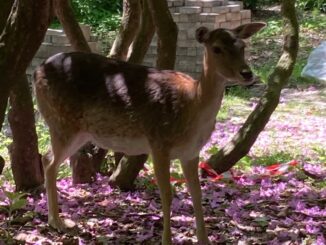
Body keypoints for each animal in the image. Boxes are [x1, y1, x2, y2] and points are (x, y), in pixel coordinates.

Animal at [33, 22, 264, 244]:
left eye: (242, 46)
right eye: (216, 48)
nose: (247, 73)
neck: (192, 104)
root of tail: (36, 71)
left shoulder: (191, 152)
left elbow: (197, 193)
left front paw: (204, 240)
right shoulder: (159, 143)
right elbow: (167, 194)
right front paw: (166, 241)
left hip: (78, 131)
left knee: (48, 159)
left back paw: (56, 220)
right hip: (62, 122)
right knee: (49, 161)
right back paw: (57, 222)